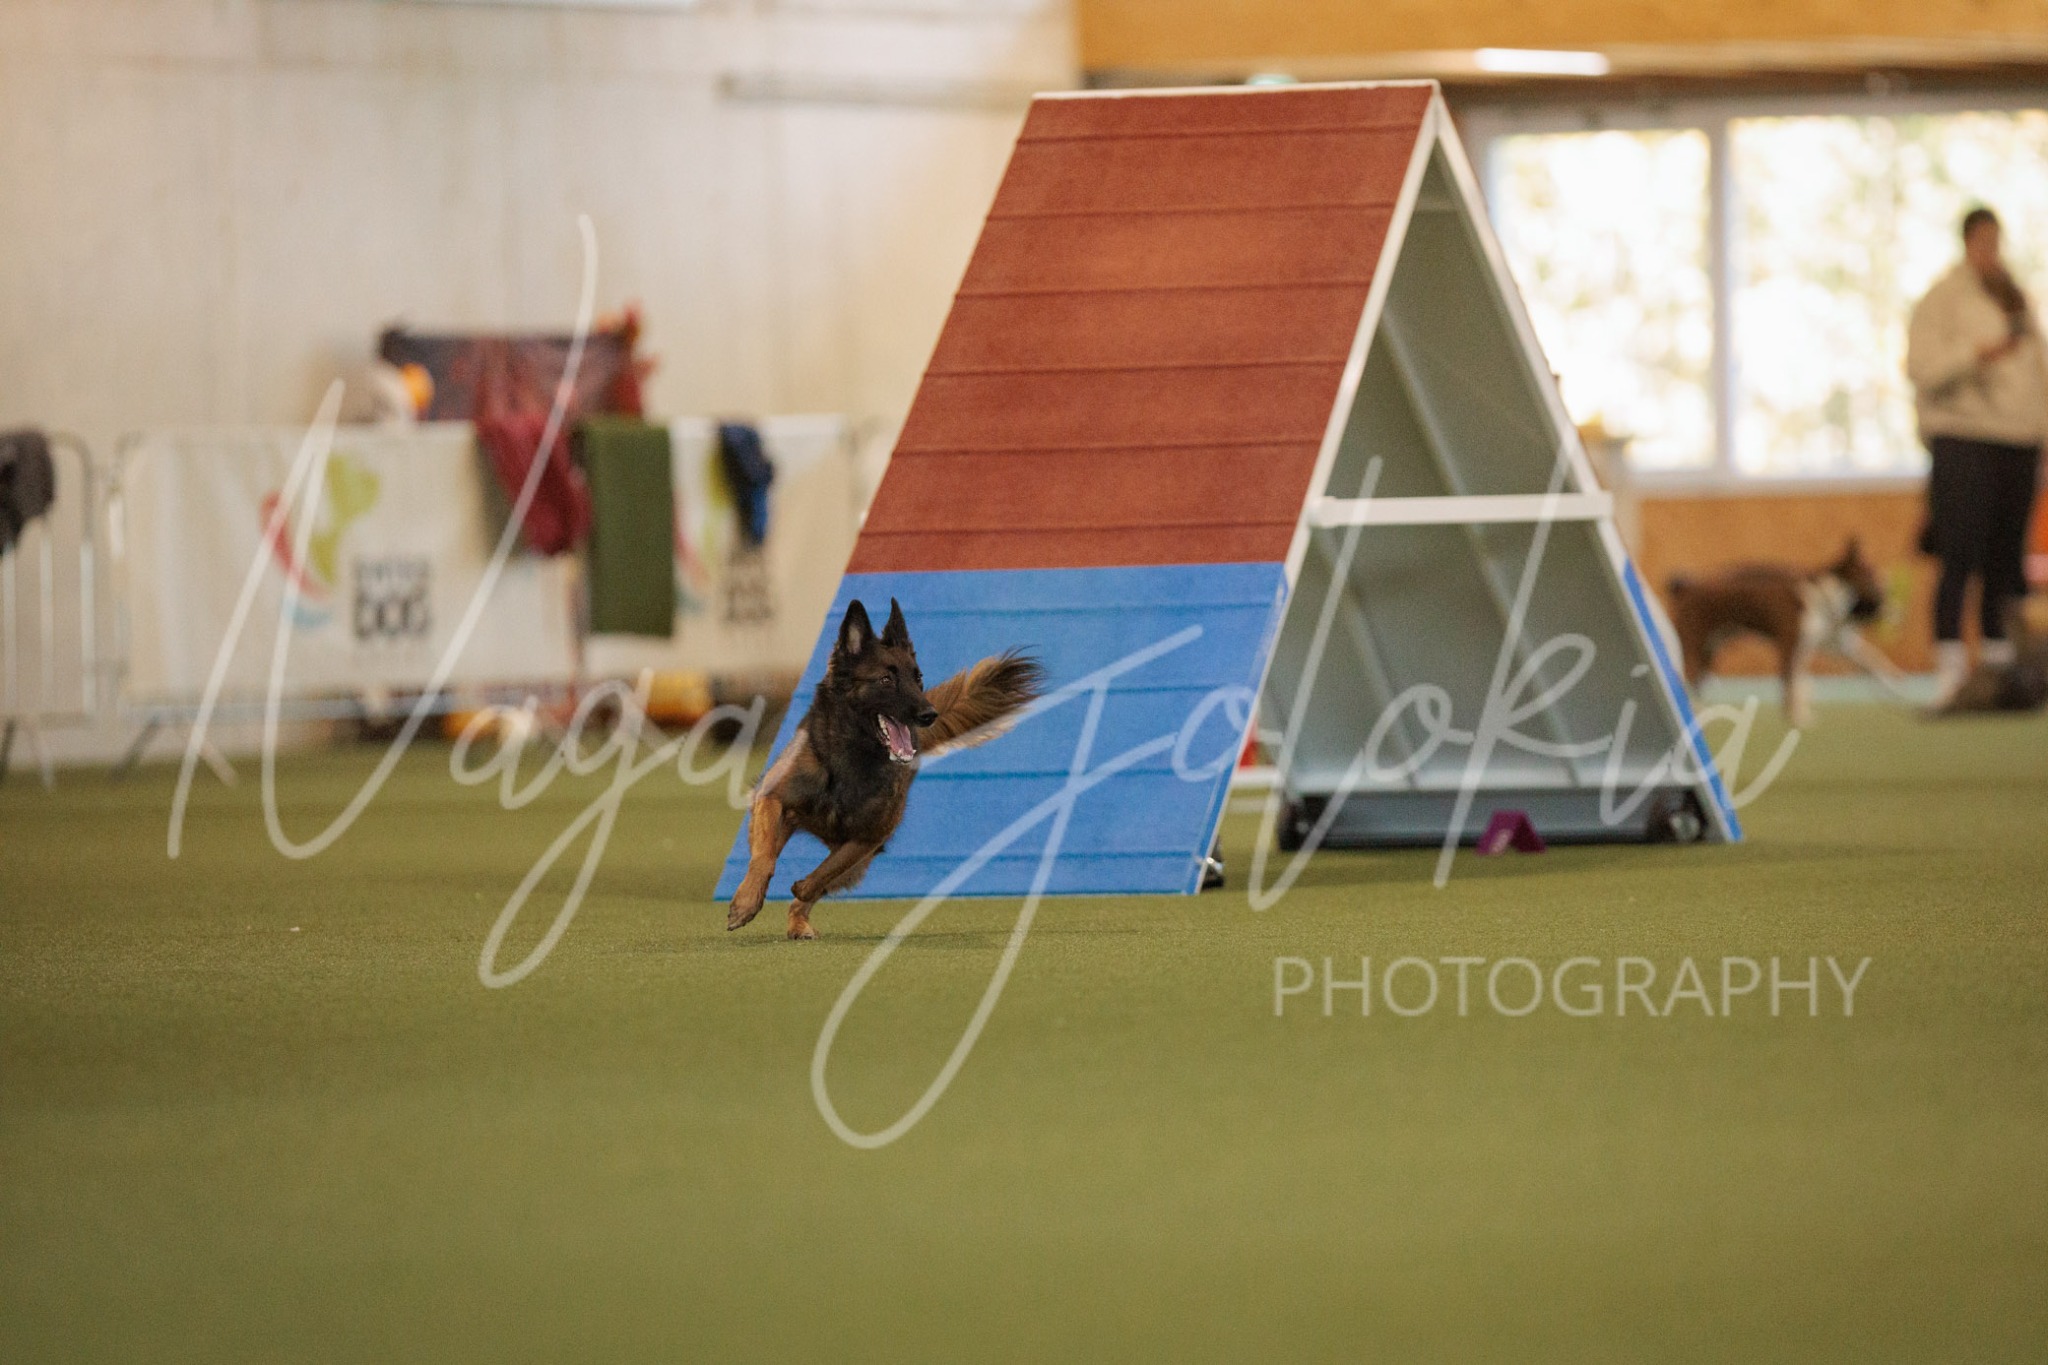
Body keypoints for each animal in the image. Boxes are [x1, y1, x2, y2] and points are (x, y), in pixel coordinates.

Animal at [726, 598, 1043, 940]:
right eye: (886, 680)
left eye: (918, 678)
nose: (929, 714)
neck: (851, 756)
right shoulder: (772, 798)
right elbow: (765, 857)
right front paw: (746, 902)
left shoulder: (870, 837)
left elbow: (825, 873)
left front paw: (802, 888)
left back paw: (799, 920)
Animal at [1666, 537, 1898, 727]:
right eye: (1874, 579)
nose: (1891, 606)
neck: (1822, 597)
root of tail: (1686, 588)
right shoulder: (1790, 647)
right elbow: (1791, 685)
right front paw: (1796, 718)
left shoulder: (1832, 646)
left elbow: (1872, 662)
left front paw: (1890, 686)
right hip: (1694, 647)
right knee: (1687, 678)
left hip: (1709, 651)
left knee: (1697, 681)